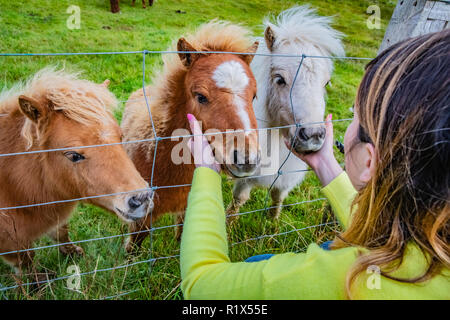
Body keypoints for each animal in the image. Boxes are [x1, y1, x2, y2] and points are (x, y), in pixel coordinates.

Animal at [0, 68, 153, 278]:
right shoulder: (12, 244)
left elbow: (61, 231)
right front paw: (38, 282)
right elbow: (26, 263)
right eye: (73, 155)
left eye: (121, 137)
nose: (141, 198)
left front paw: (72, 252)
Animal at [229, 5, 344, 220]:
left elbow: (278, 196)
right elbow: (238, 200)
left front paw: (273, 221)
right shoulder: (246, 176)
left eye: (326, 82)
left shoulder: (287, 176)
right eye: (280, 79)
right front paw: (229, 224)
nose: (313, 136)